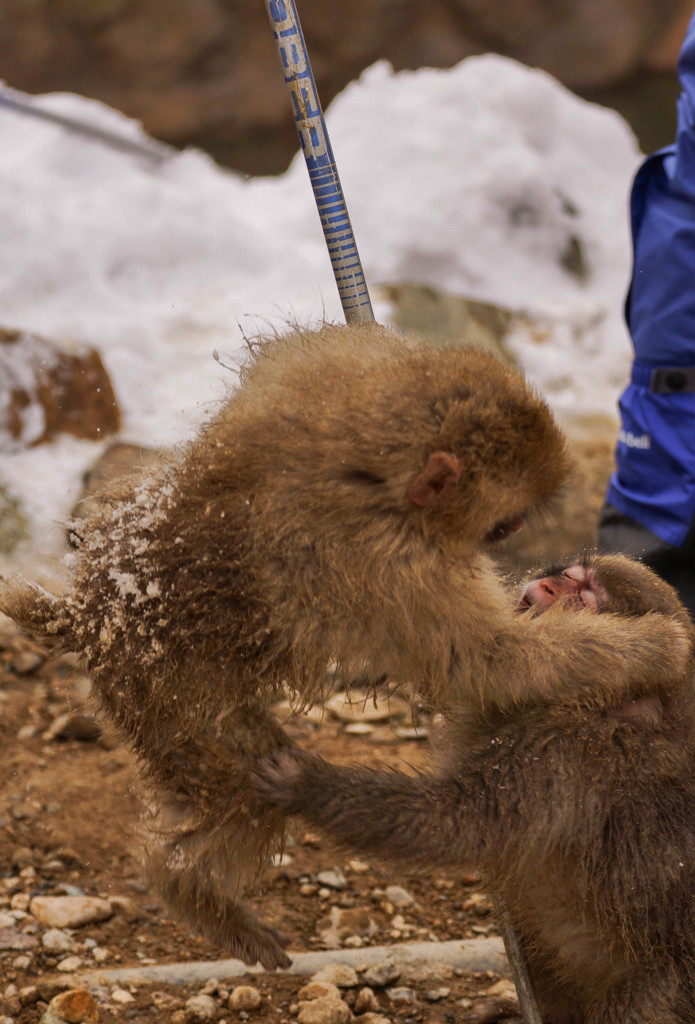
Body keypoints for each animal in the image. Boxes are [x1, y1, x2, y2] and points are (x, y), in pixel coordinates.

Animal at [0, 325, 691, 966]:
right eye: (505, 522)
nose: (536, 563)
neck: (364, 458)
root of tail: (93, 614)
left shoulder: (328, 371)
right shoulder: (387, 559)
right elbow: (486, 662)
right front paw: (650, 648)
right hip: (170, 694)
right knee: (236, 782)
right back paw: (192, 890)